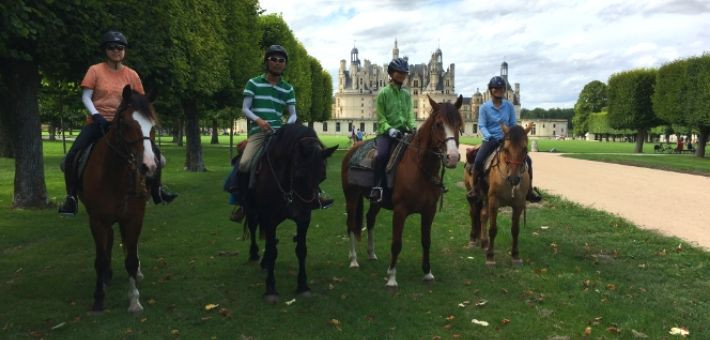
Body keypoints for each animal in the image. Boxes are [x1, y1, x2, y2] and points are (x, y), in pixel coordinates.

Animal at [80, 85, 159, 314]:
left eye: (153, 125)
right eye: (125, 123)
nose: (149, 166)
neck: (114, 175)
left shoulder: (134, 217)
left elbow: (131, 259)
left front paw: (134, 301)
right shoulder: (97, 220)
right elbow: (100, 259)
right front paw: (98, 298)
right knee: (110, 241)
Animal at [245, 123, 340, 302]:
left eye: (323, 176)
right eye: (299, 175)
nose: (309, 204)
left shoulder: (303, 219)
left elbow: (301, 249)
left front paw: (303, 285)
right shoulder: (269, 217)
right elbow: (273, 250)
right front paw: (270, 288)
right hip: (252, 209)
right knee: (253, 227)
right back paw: (254, 255)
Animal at [468, 123, 536, 266]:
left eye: (525, 148)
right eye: (505, 149)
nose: (514, 179)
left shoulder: (519, 204)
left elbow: (515, 230)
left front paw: (515, 255)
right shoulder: (494, 202)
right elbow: (493, 229)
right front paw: (490, 257)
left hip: (485, 198)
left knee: (483, 215)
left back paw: (484, 242)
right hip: (475, 195)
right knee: (473, 213)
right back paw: (473, 239)